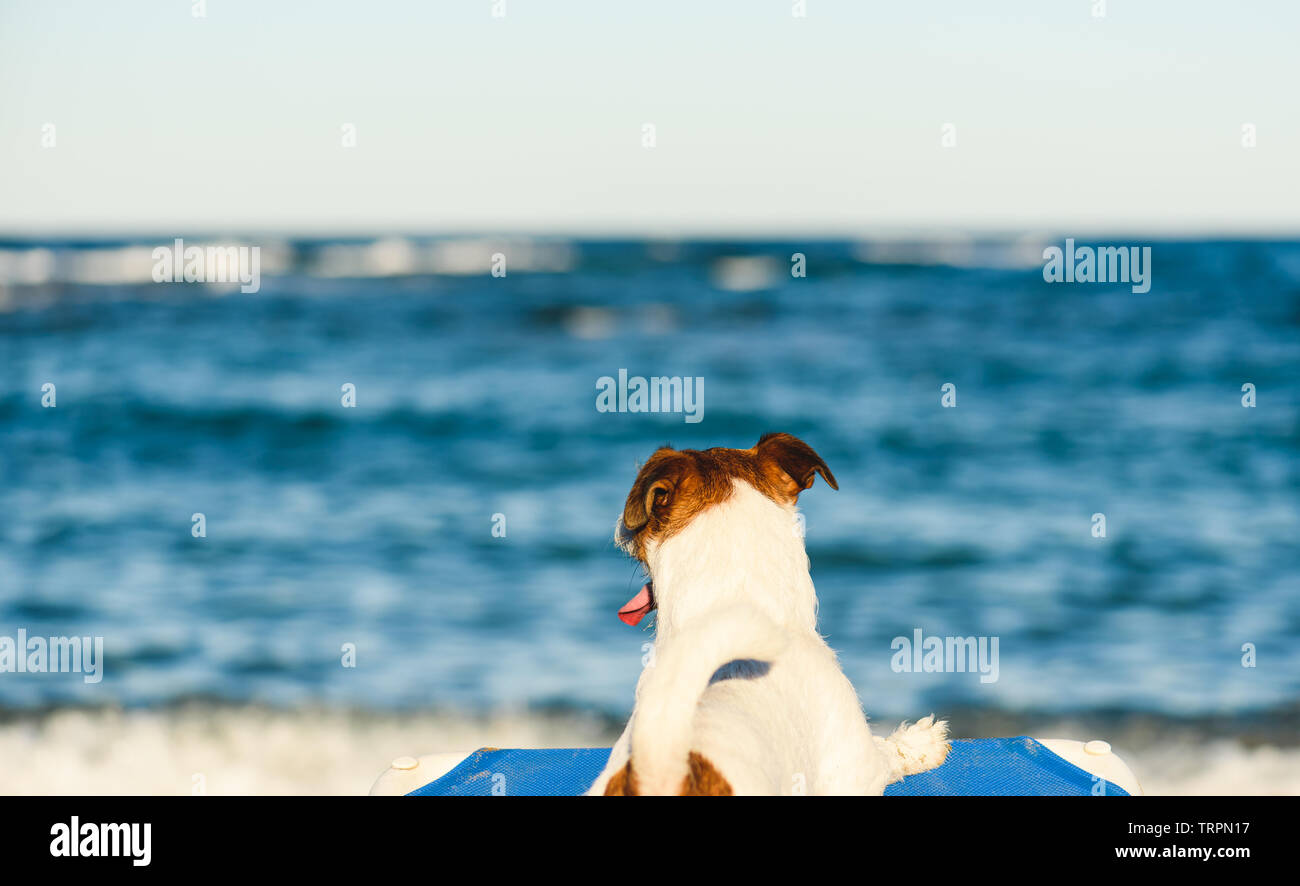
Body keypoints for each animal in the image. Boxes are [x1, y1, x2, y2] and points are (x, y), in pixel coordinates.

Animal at [587, 428, 946, 795]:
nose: (620, 524)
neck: (734, 595)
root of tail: (663, 775)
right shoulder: (853, 767)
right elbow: (889, 753)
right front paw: (919, 742)